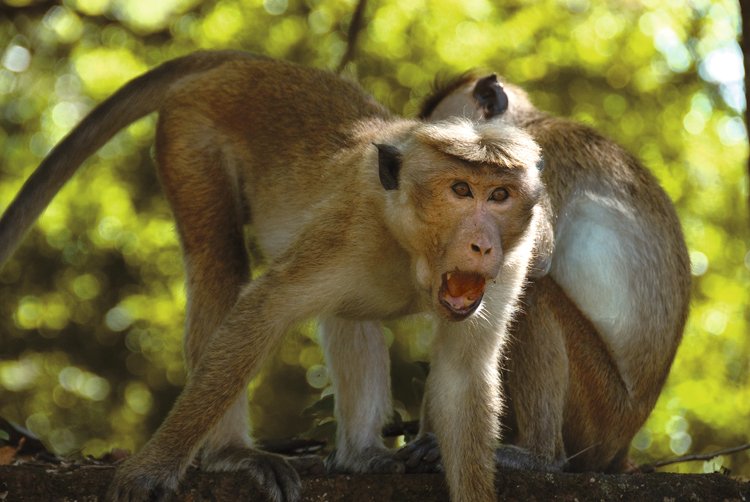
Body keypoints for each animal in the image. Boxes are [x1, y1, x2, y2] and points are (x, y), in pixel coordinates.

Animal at [0, 52, 552, 502]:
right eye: (460, 189)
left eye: (499, 195)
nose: (482, 245)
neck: (411, 246)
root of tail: (252, 64)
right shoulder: (348, 231)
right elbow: (262, 313)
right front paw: (150, 470)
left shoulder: (513, 260)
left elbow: (463, 374)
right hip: (189, 135)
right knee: (218, 265)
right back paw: (230, 452)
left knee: (348, 316)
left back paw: (362, 455)